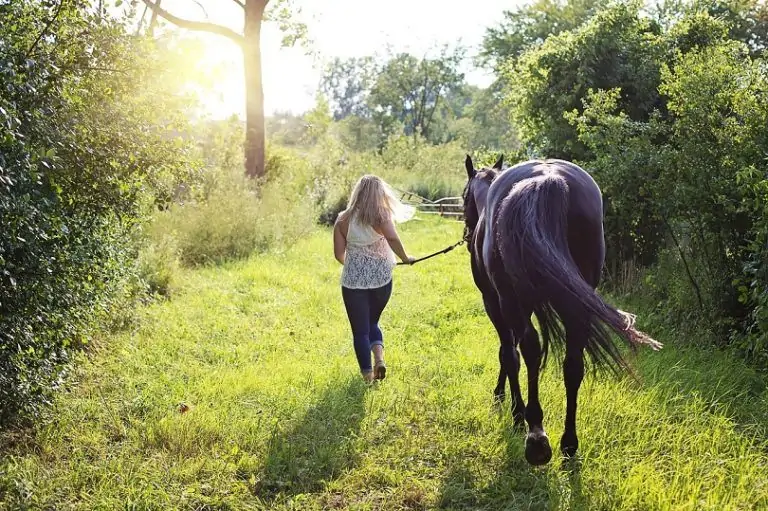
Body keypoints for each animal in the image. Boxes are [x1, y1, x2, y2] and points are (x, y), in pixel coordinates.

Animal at [462, 154, 660, 466]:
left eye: (463, 197)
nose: (468, 234)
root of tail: (548, 178)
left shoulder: (494, 302)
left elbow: (508, 353)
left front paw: (512, 409)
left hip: (512, 302)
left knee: (529, 350)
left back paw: (536, 436)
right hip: (576, 305)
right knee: (573, 365)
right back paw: (569, 442)